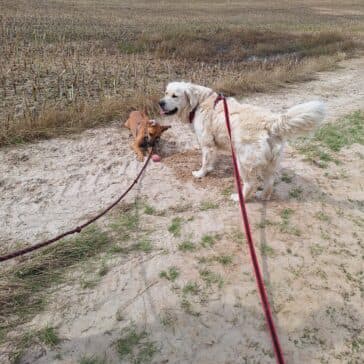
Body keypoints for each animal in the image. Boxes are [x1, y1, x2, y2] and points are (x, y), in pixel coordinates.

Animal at [159, 82, 324, 202]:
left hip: (243, 162)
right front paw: (209, 169)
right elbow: (211, 160)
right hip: (269, 163)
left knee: (250, 184)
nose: (160, 103)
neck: (199, 103)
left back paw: (239, 198)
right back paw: (263, 196)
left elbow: (205, 162)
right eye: (165, 93)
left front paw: (200, 174)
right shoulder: (213, 146)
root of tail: (271, 122)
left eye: (175, 96)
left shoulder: (207, 144)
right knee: (269, 183)